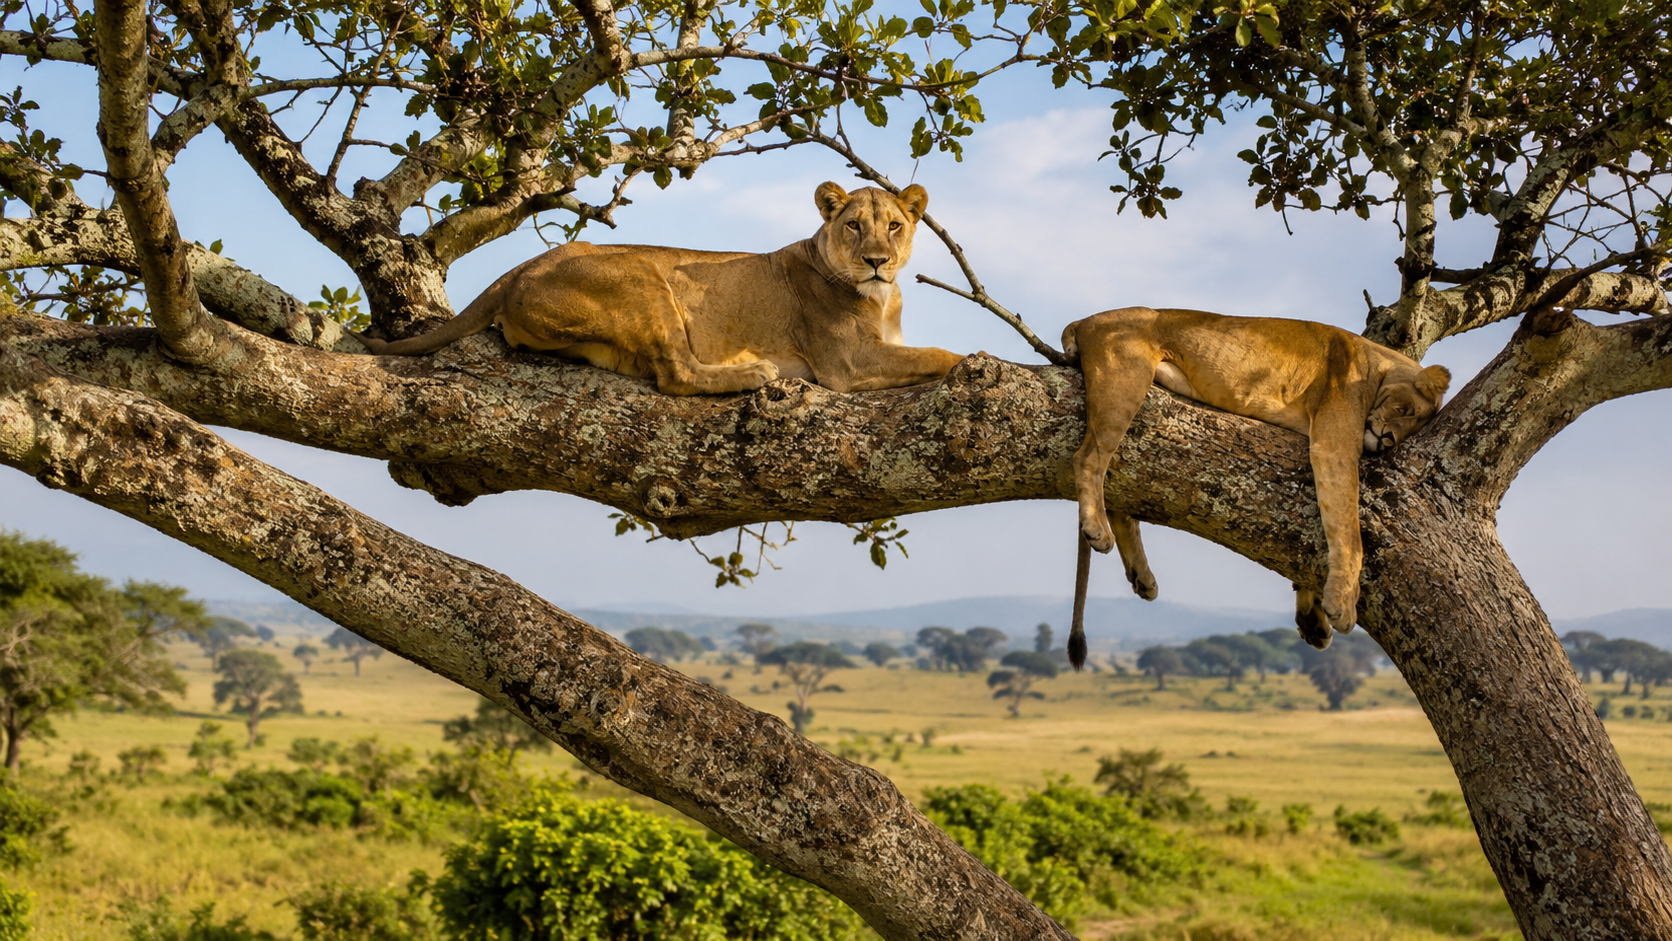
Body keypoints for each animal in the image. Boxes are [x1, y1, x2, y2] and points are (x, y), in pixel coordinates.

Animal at [352, 182, 966, 395]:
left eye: (895, 225)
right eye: (854, 226)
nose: (877, 261)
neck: (882, 296)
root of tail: (524, 266)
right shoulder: (847, 362)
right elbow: (939, 353)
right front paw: (975, 362)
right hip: (643, 277)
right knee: (676, 375)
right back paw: (753, 373)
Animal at [1062, 307, 1451, 667]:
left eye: (1412, 429)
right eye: (1406, 410)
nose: (1387, 442)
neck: (1376, 363)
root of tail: (1085, 319)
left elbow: (1312, 539)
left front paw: (1312, 617)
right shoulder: (1333, 446)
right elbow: (1349, 533)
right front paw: (1342, 605)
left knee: (1118, 489)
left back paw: (1141, 576)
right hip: (1125, 382)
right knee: (1088, 459)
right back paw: (1097, 531)